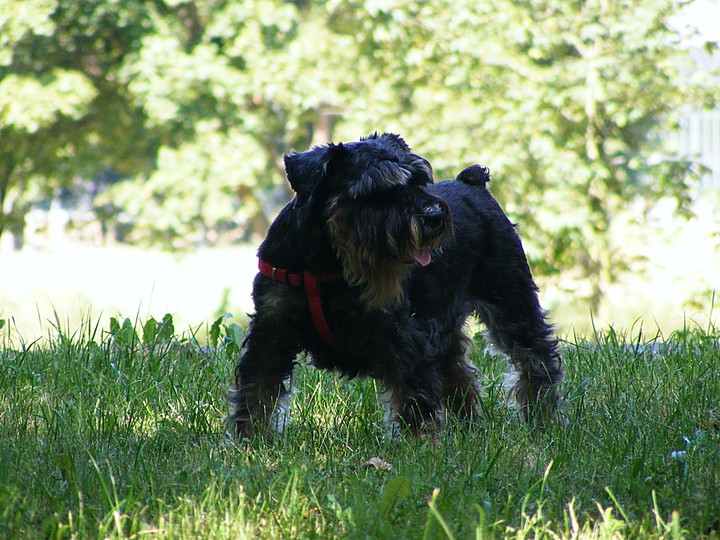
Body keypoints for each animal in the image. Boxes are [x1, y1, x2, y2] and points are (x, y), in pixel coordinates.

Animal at [231, 132, 564, 438]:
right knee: (458, 372)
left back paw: (542, 420)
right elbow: (256, 389)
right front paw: (249, 441)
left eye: (420, 179)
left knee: (536, 360)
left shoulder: (403, 337)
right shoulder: (271, 332)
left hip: (511, 304)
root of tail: (472, 182)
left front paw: (417, 445)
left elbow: (413, 394)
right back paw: (467, 427)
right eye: (377, 189)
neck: (328, 259)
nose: (434, 215)